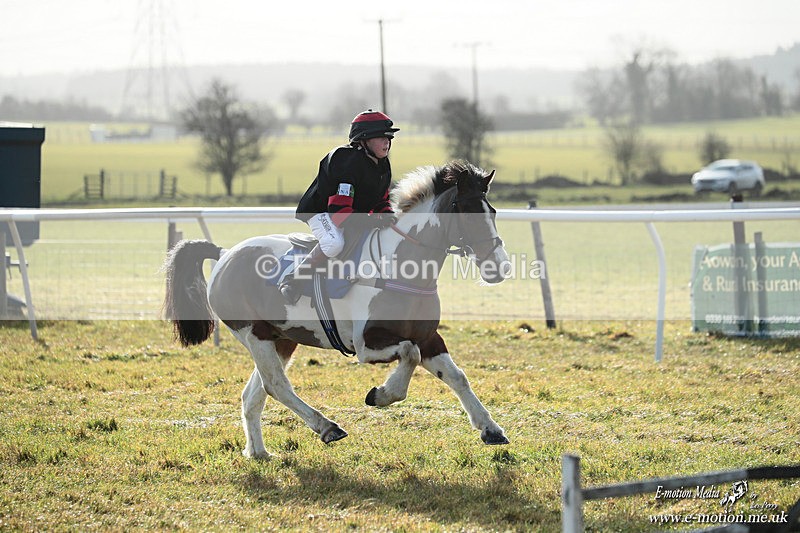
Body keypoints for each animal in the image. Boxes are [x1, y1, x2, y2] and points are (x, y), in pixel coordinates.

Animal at [162, 161, 511, 458]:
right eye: (465, 212)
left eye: (492, 211)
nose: (500, 267)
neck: (401, 266)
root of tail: (225, 253)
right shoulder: (367, 345)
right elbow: (409, 356)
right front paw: (381, 394)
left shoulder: (428, 339)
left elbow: (457, 377)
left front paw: (491, 429)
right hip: (254, 333)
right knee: (276, 386)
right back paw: (327, 427)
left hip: (282, 338)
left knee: (254, 394)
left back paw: (259, 452)